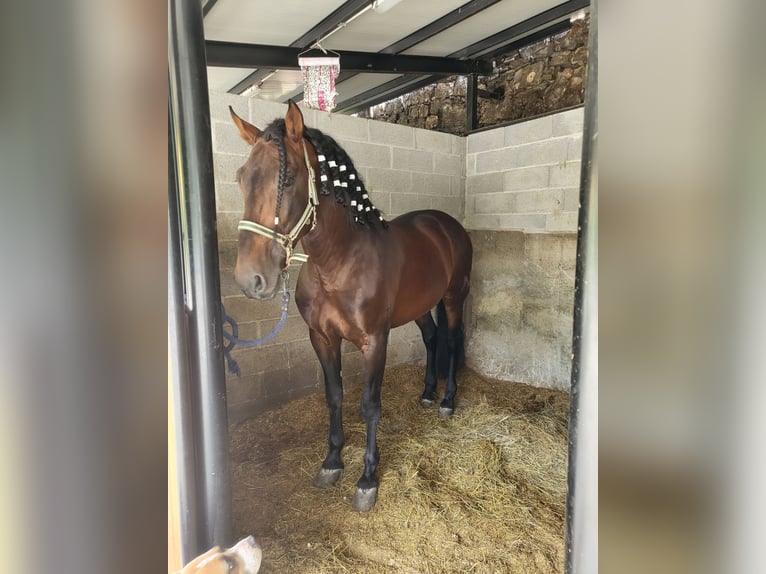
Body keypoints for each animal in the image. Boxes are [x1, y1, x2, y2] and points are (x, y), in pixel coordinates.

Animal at [230, 102, 474, 512]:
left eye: (289, 178)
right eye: (241, 178)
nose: (251, 279)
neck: (338, 263)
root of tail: (445, 224)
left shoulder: (374, 341)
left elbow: (369, 404)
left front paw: (367, 479)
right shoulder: (322, 338)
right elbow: (335, 397)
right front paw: (331, 463)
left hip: (454, 296)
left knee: (452, 341)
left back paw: (447, 400)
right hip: (420, 306)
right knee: (431, 337)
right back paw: (427, 394)